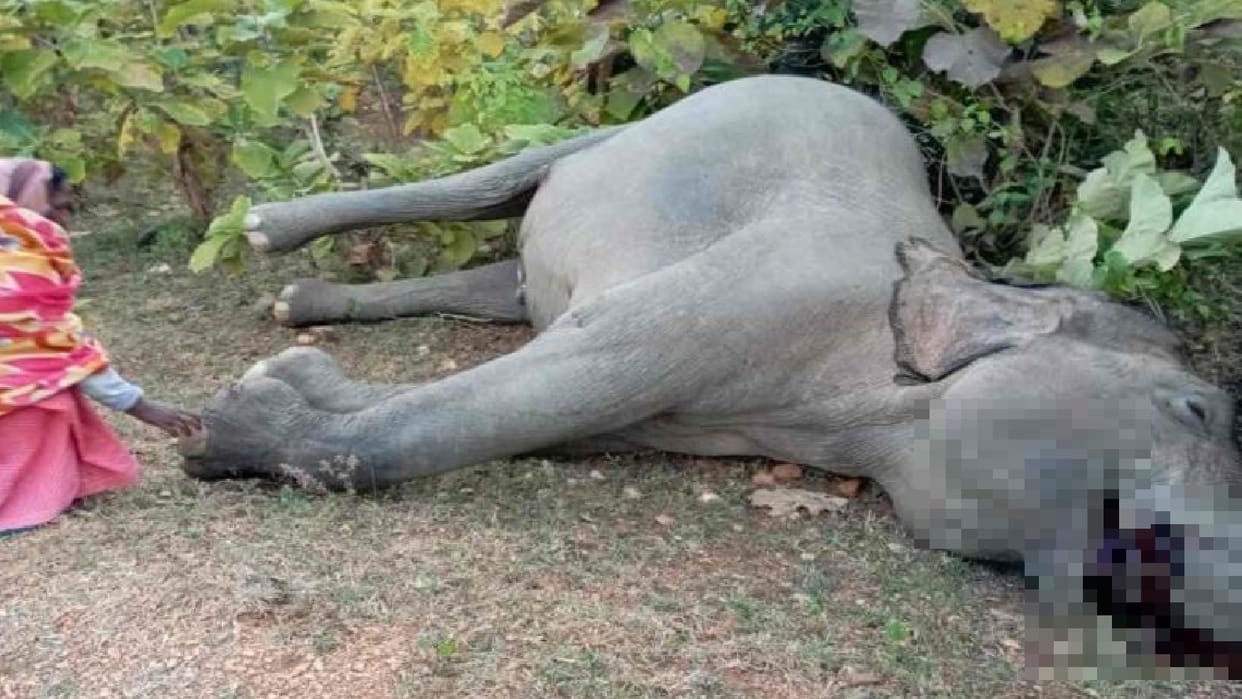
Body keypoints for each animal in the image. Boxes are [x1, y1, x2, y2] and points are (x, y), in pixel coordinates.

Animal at [180, 76, 1242, 679]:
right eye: (1197, 408)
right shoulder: (757, 290)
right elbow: (555, 374)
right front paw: (237, 422)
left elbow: (549, 406)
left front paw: (292, 377)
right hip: (644, 125)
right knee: (498, 181)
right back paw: (270, 228)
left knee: (504, 283)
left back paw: (302, 305)